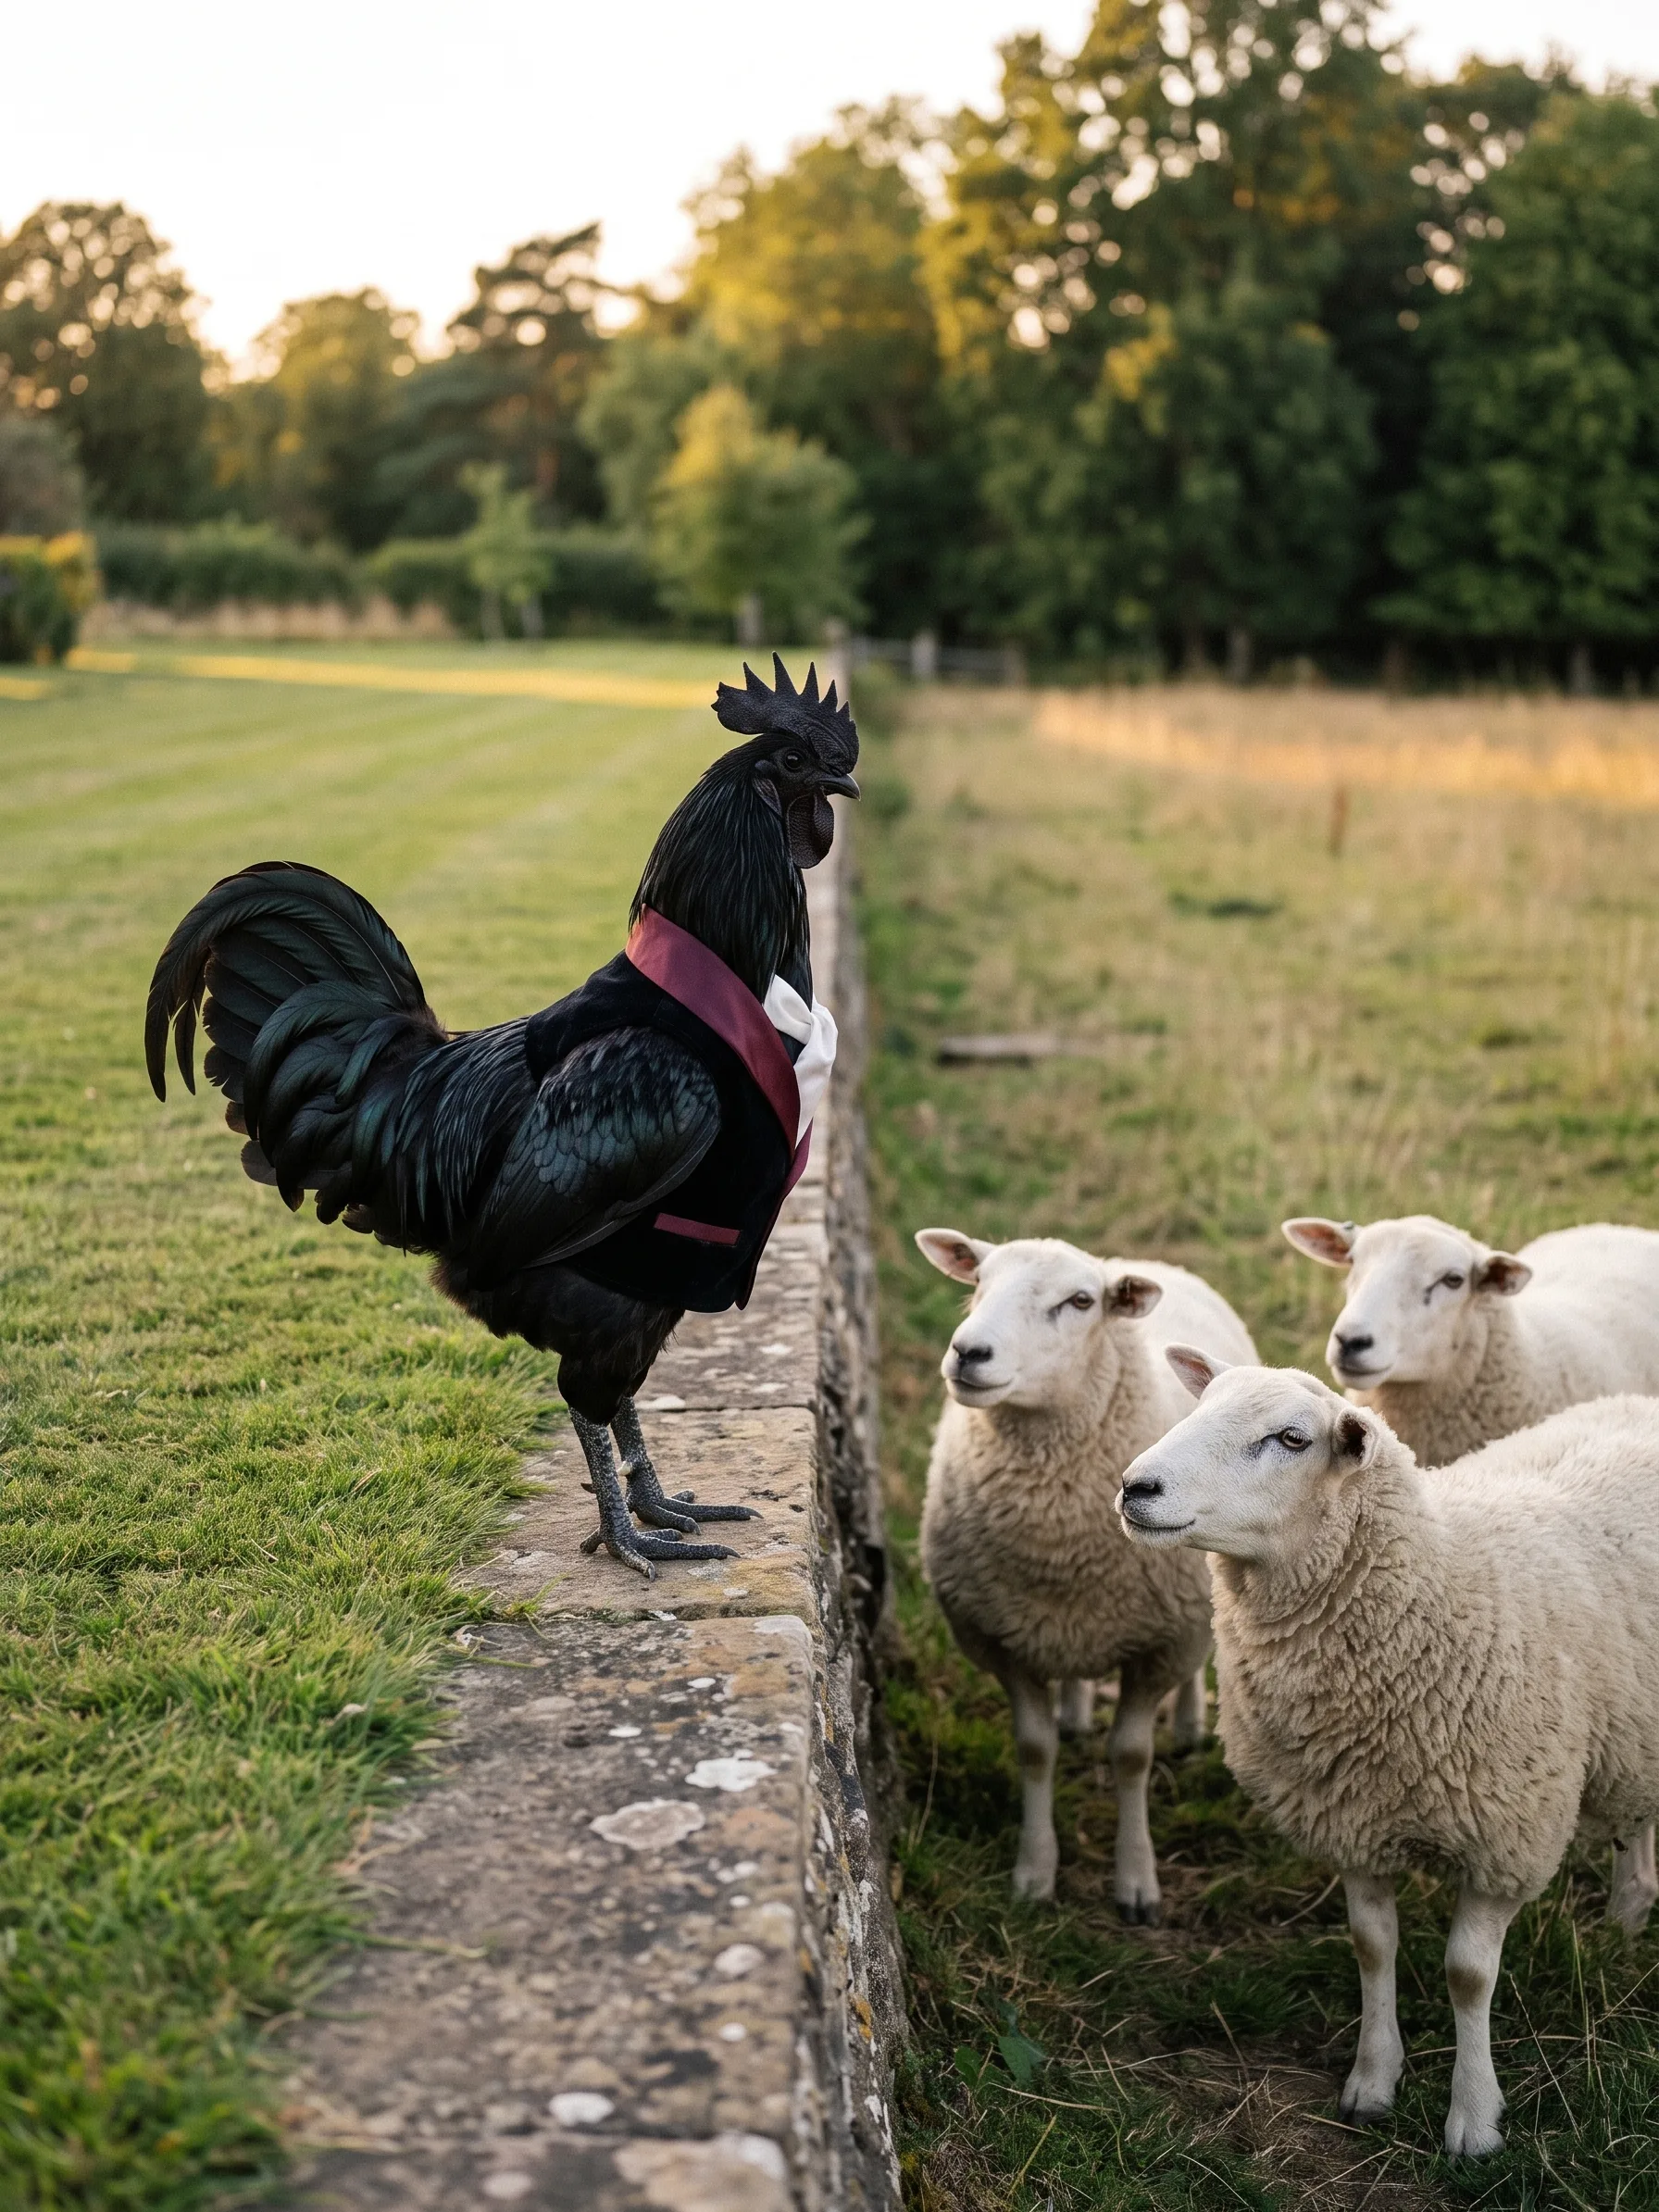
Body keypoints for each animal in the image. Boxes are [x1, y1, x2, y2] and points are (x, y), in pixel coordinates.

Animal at [914, 1228, 1257, 1918]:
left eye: (1079, 1301)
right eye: (979, 1281)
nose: (968, 1352)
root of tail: (1137, 1262)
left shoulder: (1161, 1641)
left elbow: (1130, 1756)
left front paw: (1136, 1880)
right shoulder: (1003, 1637)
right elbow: (1034, 1749)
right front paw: (1034, 1872)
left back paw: (1188, 1726)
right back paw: (1074, 1713)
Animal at [1118, 1356, 1659, 2156]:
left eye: (1290, 1437)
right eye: (1201, 1403)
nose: (1135, 1486)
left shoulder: (1506, 1834)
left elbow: (1468, 1975)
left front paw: (1474, 2120)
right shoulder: (1351, 1815)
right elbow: (1372, 1946)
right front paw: (1372, 2083)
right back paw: (1626, 1916)